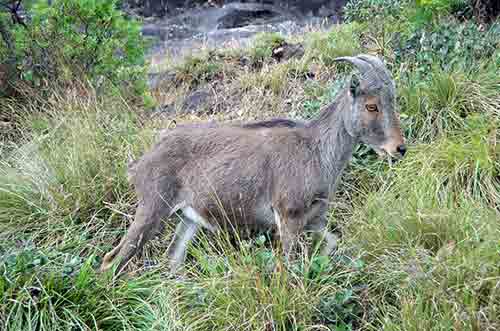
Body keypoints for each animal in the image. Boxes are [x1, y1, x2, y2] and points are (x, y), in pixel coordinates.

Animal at [100, 54, 406, 274]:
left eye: (393, 101)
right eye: (371, 105)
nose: (399, 148)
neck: (317, 150)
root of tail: (140, 163)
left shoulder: (315, 219)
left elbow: (332, 242)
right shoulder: (289, 216)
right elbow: (287, 265)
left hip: (188, 219)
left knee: (173, 261)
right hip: (152, 208)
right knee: (112, 260)